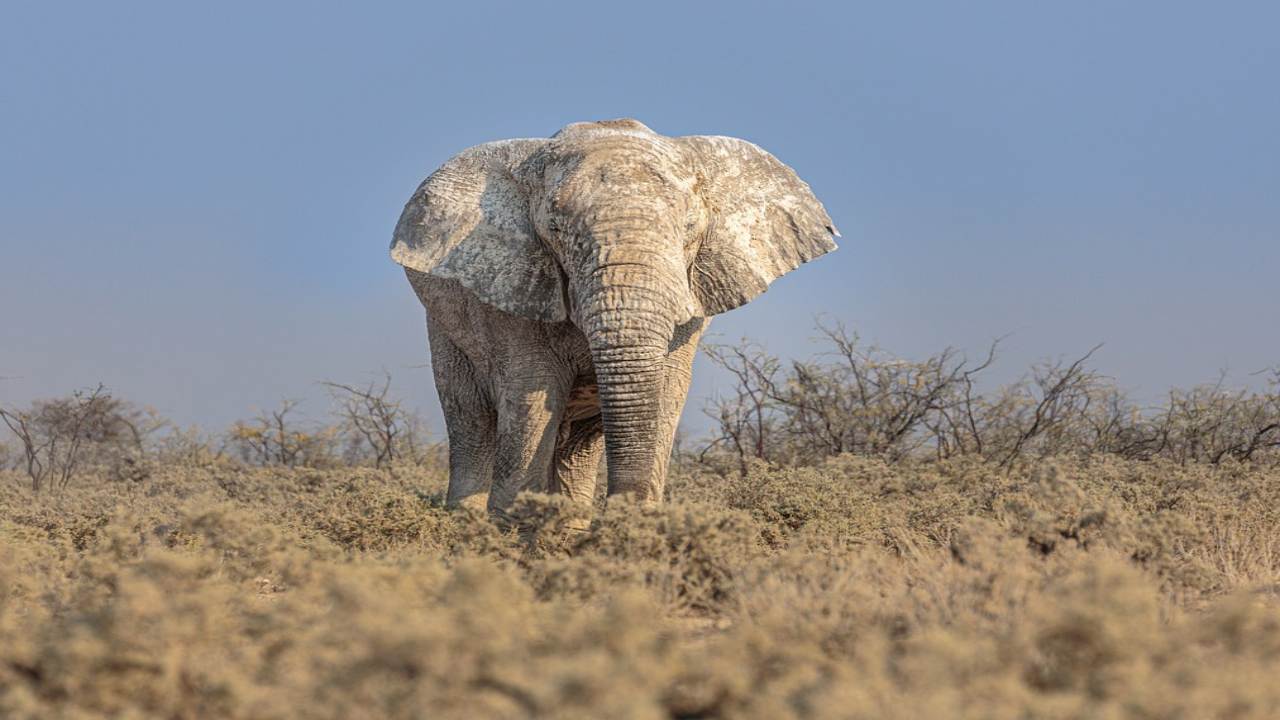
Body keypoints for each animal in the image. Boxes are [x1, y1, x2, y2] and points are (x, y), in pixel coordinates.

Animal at [391, 118, 837, 522]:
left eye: (690, 227)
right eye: (554, 229)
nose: (621, 514)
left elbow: (667, 392)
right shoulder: (512, 288)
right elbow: (531, 393)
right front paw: (508, 535)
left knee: (578, 444)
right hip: (445, 330)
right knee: (472, 420)